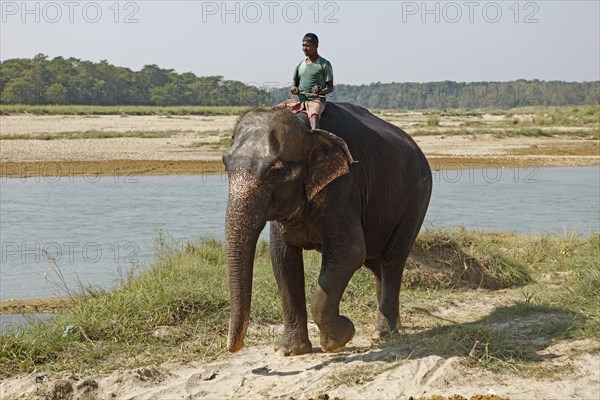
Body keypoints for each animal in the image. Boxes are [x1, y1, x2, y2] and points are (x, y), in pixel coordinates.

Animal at [221, 101, 432, 354]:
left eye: (276, 171)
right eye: (225, 163)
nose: (232, 347)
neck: (306, 127)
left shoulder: (344, 186)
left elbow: (350, 252)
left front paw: (341, 337)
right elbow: (282, 258)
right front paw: (289, 351)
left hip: (416, 200)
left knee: (393, 259)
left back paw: (382, 335)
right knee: (378, 264)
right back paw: (394, 327)